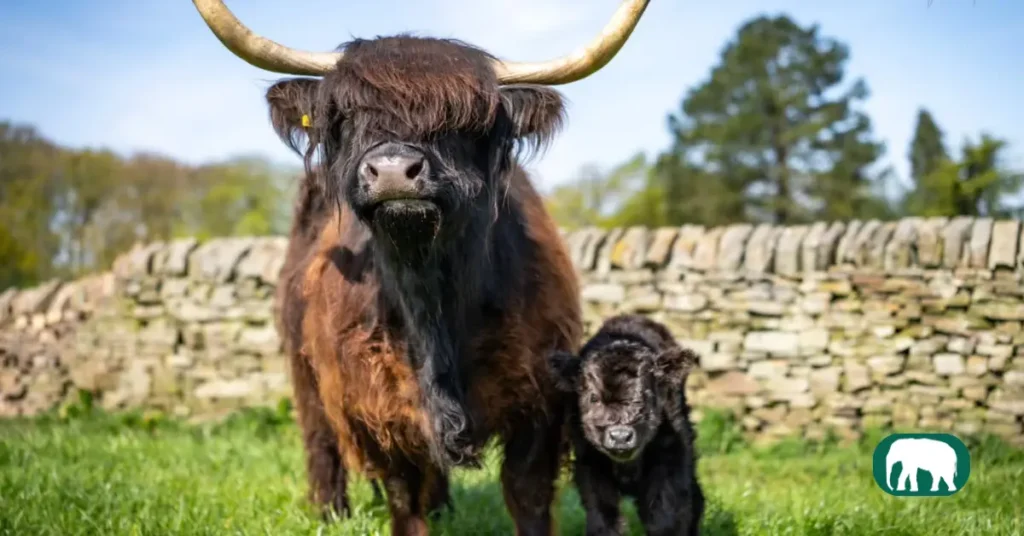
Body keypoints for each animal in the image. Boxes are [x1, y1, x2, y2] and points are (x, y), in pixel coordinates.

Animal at [191, 1, 649, 534]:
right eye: (346, 117)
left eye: (463, 121)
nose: (392, 170)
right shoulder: (378, 407)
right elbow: (402, 498)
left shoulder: (540, 404)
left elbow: (528, 497)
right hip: (304, 369)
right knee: (320, 439)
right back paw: (330, 512)